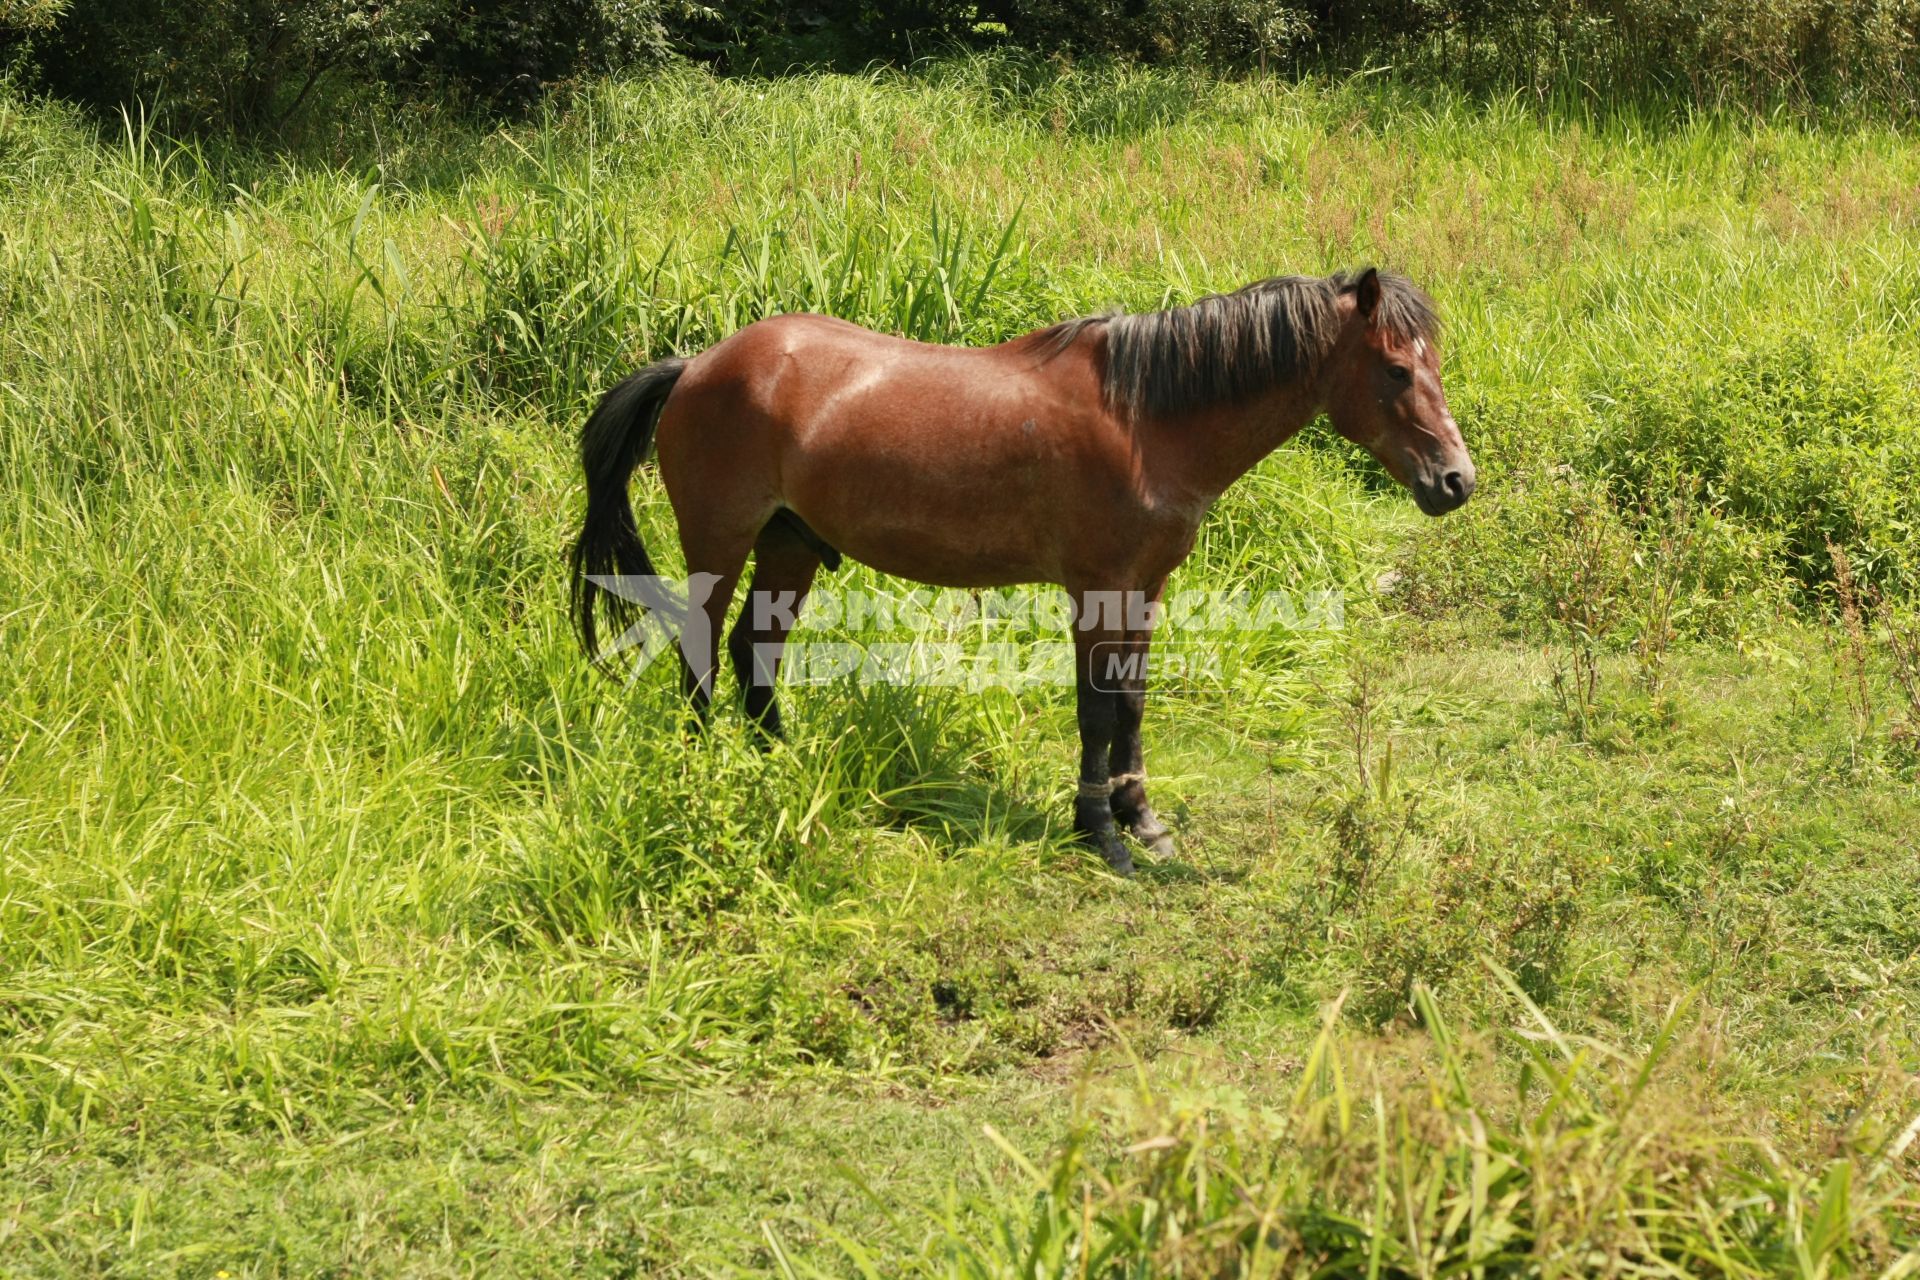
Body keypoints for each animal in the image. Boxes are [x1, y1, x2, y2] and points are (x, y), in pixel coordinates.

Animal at [564, 264, 1466, 875]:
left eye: (1434, 365)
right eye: (1396, 369)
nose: (1456, 481)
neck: (1149, 421)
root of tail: (694, 365)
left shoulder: (1146, 589)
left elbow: (1132, 705)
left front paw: (1144, 821)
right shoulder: (1097, 590)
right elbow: (1096, 713)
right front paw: (1099, 832)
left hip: (789, 545)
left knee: (755, 650)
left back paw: (778, 765)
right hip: (718, 544)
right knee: (701, 651)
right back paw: (704, 773)